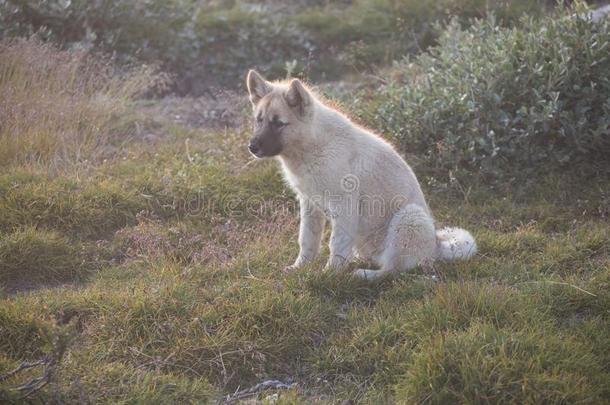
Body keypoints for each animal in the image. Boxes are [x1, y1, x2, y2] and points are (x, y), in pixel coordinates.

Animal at [243, 69, 476, 280]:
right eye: (259, 120)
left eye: (278, 123)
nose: (252, 147)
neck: (313, 148)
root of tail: (436, 246)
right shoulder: (310, 204)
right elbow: (307, 240)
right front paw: (299, 268)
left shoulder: (343, 205)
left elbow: (335, 244)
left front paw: (328, 276)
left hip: (409, 218)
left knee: (392, 270)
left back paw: (363, 274)